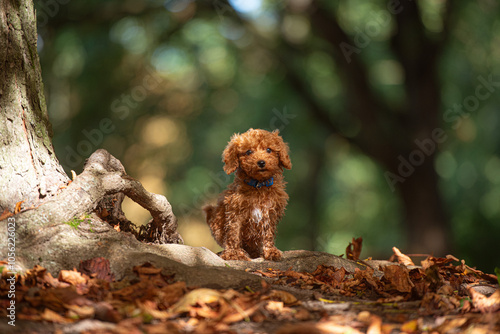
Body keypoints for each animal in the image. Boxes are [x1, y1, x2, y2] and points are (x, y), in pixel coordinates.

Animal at [202, 128, 292, 260]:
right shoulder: (235, 211)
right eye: (248, 152)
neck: (259, 185)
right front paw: (233, 253)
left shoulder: (270, 212)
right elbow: (233, 233)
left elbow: (269, 233)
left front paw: (270, 250)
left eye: (269, 150)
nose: (261, 162)